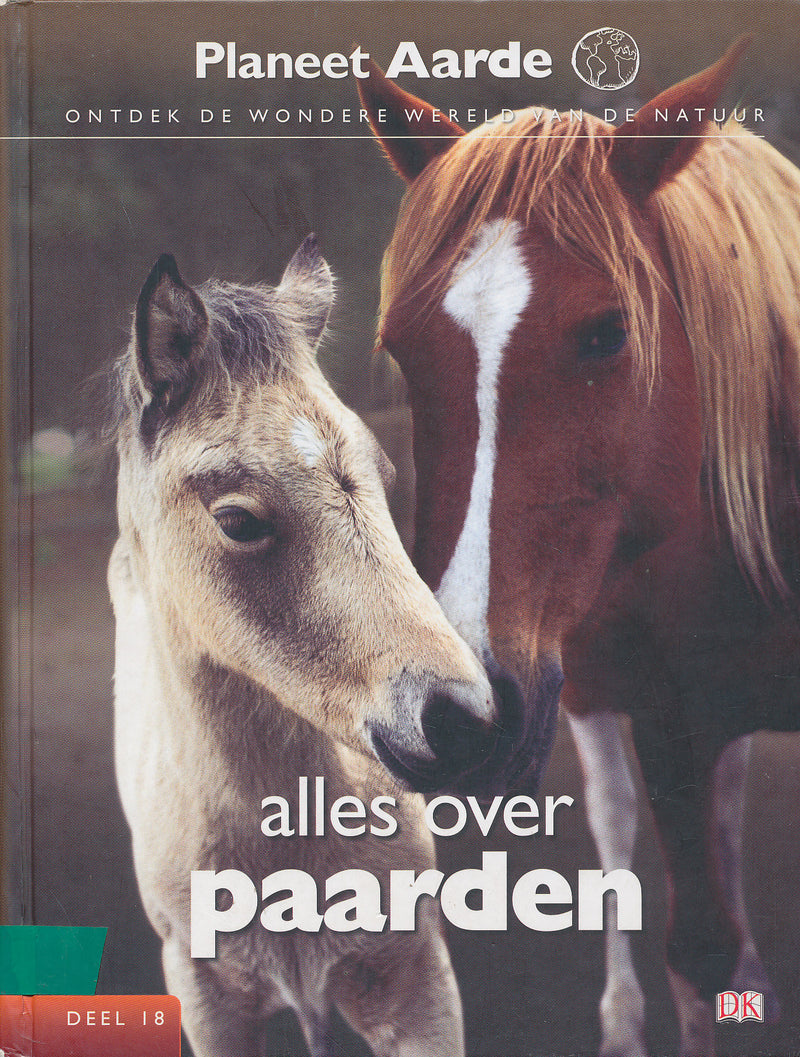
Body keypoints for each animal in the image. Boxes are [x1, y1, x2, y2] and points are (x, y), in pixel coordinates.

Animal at [358, 40, 800, 1057]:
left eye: (607, 332)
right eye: (402, 350)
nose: (453, 717)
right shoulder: (669, 722)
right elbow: (695, 947)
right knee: (618, 823)